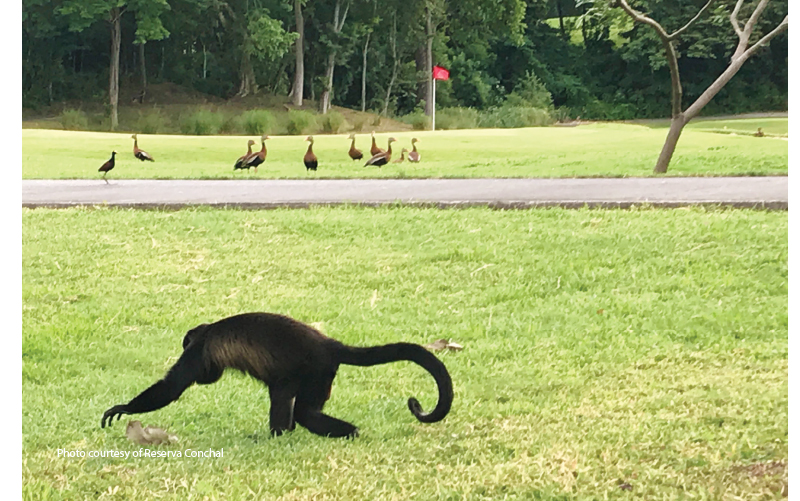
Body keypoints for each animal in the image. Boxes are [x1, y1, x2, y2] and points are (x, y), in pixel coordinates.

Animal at [101, 312, 454, 438]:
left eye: (185, 344)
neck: (206, 331)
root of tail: (328, 344)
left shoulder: (198, 353)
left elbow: (173, 386)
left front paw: (123, 408)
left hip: (316, 371)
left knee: (299, 407)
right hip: (323, 375)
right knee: (292, 400)